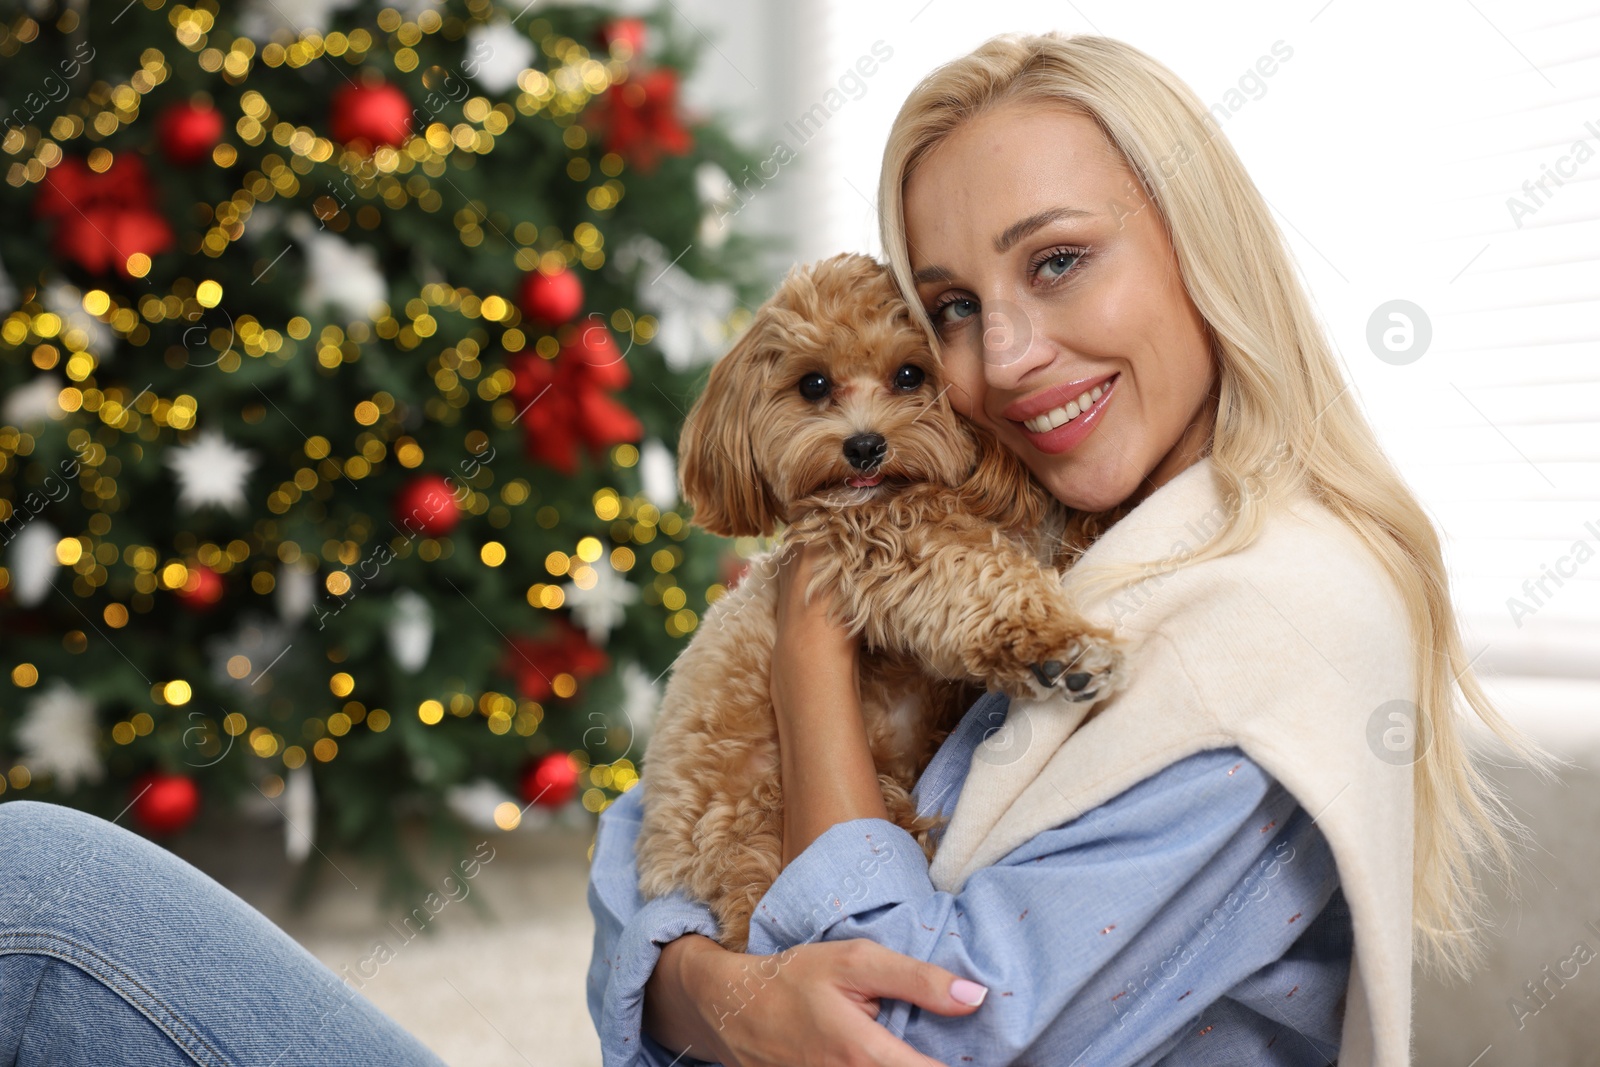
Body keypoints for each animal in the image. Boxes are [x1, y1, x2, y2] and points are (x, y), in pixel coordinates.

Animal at [630, 255, 1120, 953]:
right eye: (812, 385)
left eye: (910, 375)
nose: (864, 447)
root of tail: (664, 863)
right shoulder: (873, 545)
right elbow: (974, 575)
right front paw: (1057, 647)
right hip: (759, 822)